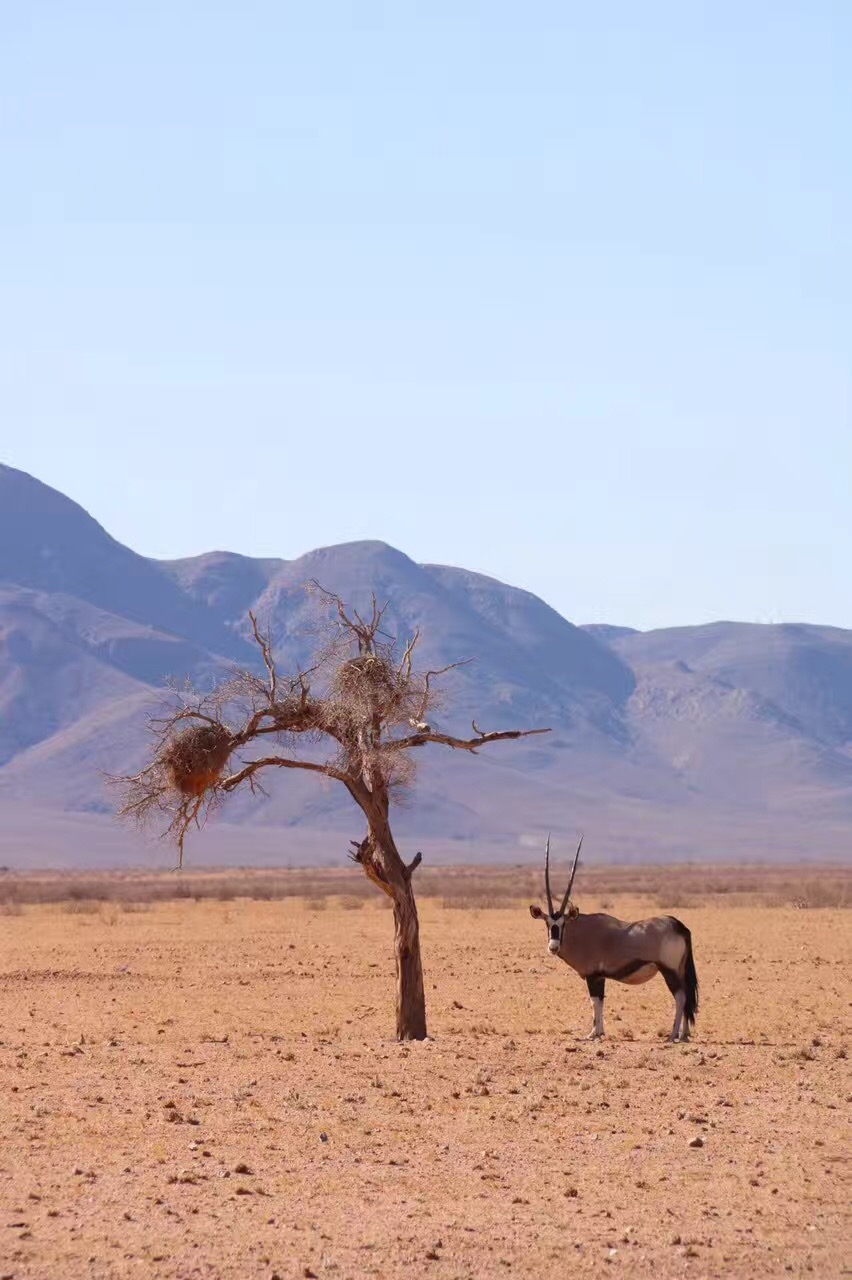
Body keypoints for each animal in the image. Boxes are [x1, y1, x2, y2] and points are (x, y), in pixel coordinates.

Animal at [527, 839, 701, 1039]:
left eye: (563, 924)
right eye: (547, 923)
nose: (553, 947)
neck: (581, 931)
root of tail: (678, 925)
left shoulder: (593, 976)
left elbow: (594, 1002)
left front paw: (593, 1034)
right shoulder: (600, 977)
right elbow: (601, 1002)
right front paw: (600, 1032)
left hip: (669, 970)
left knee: (680, 996)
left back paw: (673, 1035)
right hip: (680, 970)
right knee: (687, 996)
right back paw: (685, 1034)